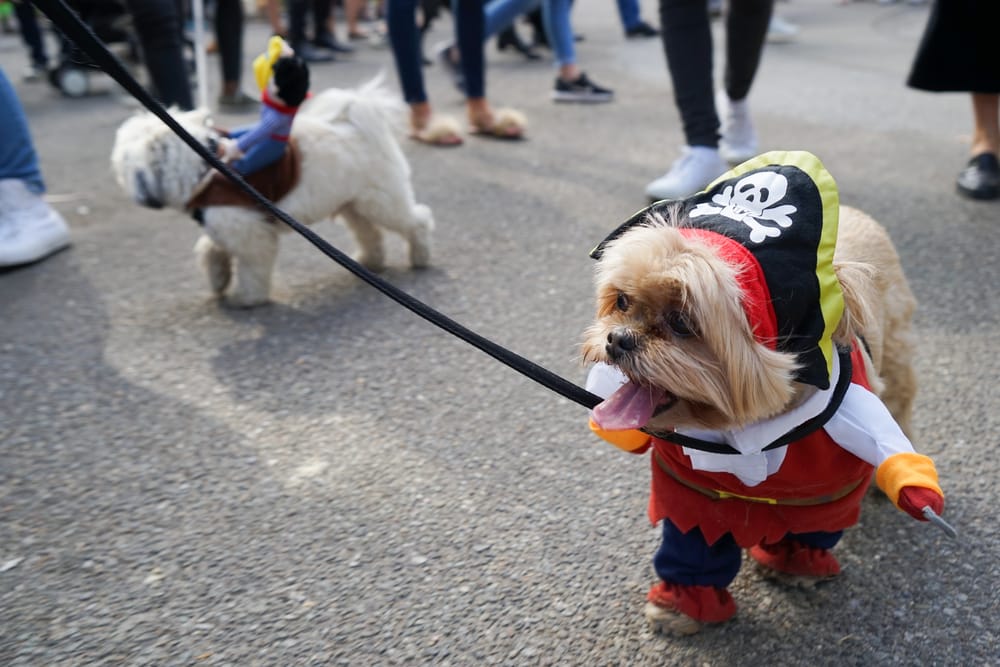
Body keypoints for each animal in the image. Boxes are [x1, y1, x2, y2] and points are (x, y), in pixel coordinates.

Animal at [113, 80, 434, 308]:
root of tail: (354, 123)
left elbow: (252, 268)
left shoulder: (250, 234)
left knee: (416, 222)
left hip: (381, 201)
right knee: (370, 233)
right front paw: (218, 279)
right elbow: (211, 249)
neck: (205, 166)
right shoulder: (228, 223)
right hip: (353, 205)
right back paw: (370, 261)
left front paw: (247, 298)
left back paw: (420, 257)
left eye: (122, 166)